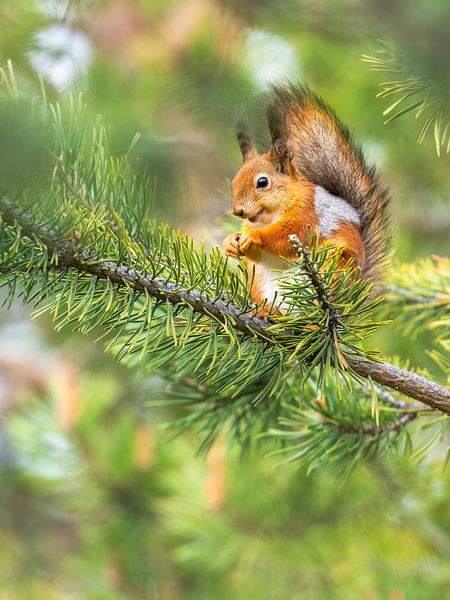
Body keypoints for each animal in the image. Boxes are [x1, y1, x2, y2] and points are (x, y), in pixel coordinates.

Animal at [223, 83, 388, 310]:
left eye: (262, 182)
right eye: (234, 182)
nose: (238, 211)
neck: (269, 216)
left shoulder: (307, 213)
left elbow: (287, 235)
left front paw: (255, 236)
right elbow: (261, 254)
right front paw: (230, 242)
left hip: (335, 266)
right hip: (258, 283)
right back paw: (264, 314)